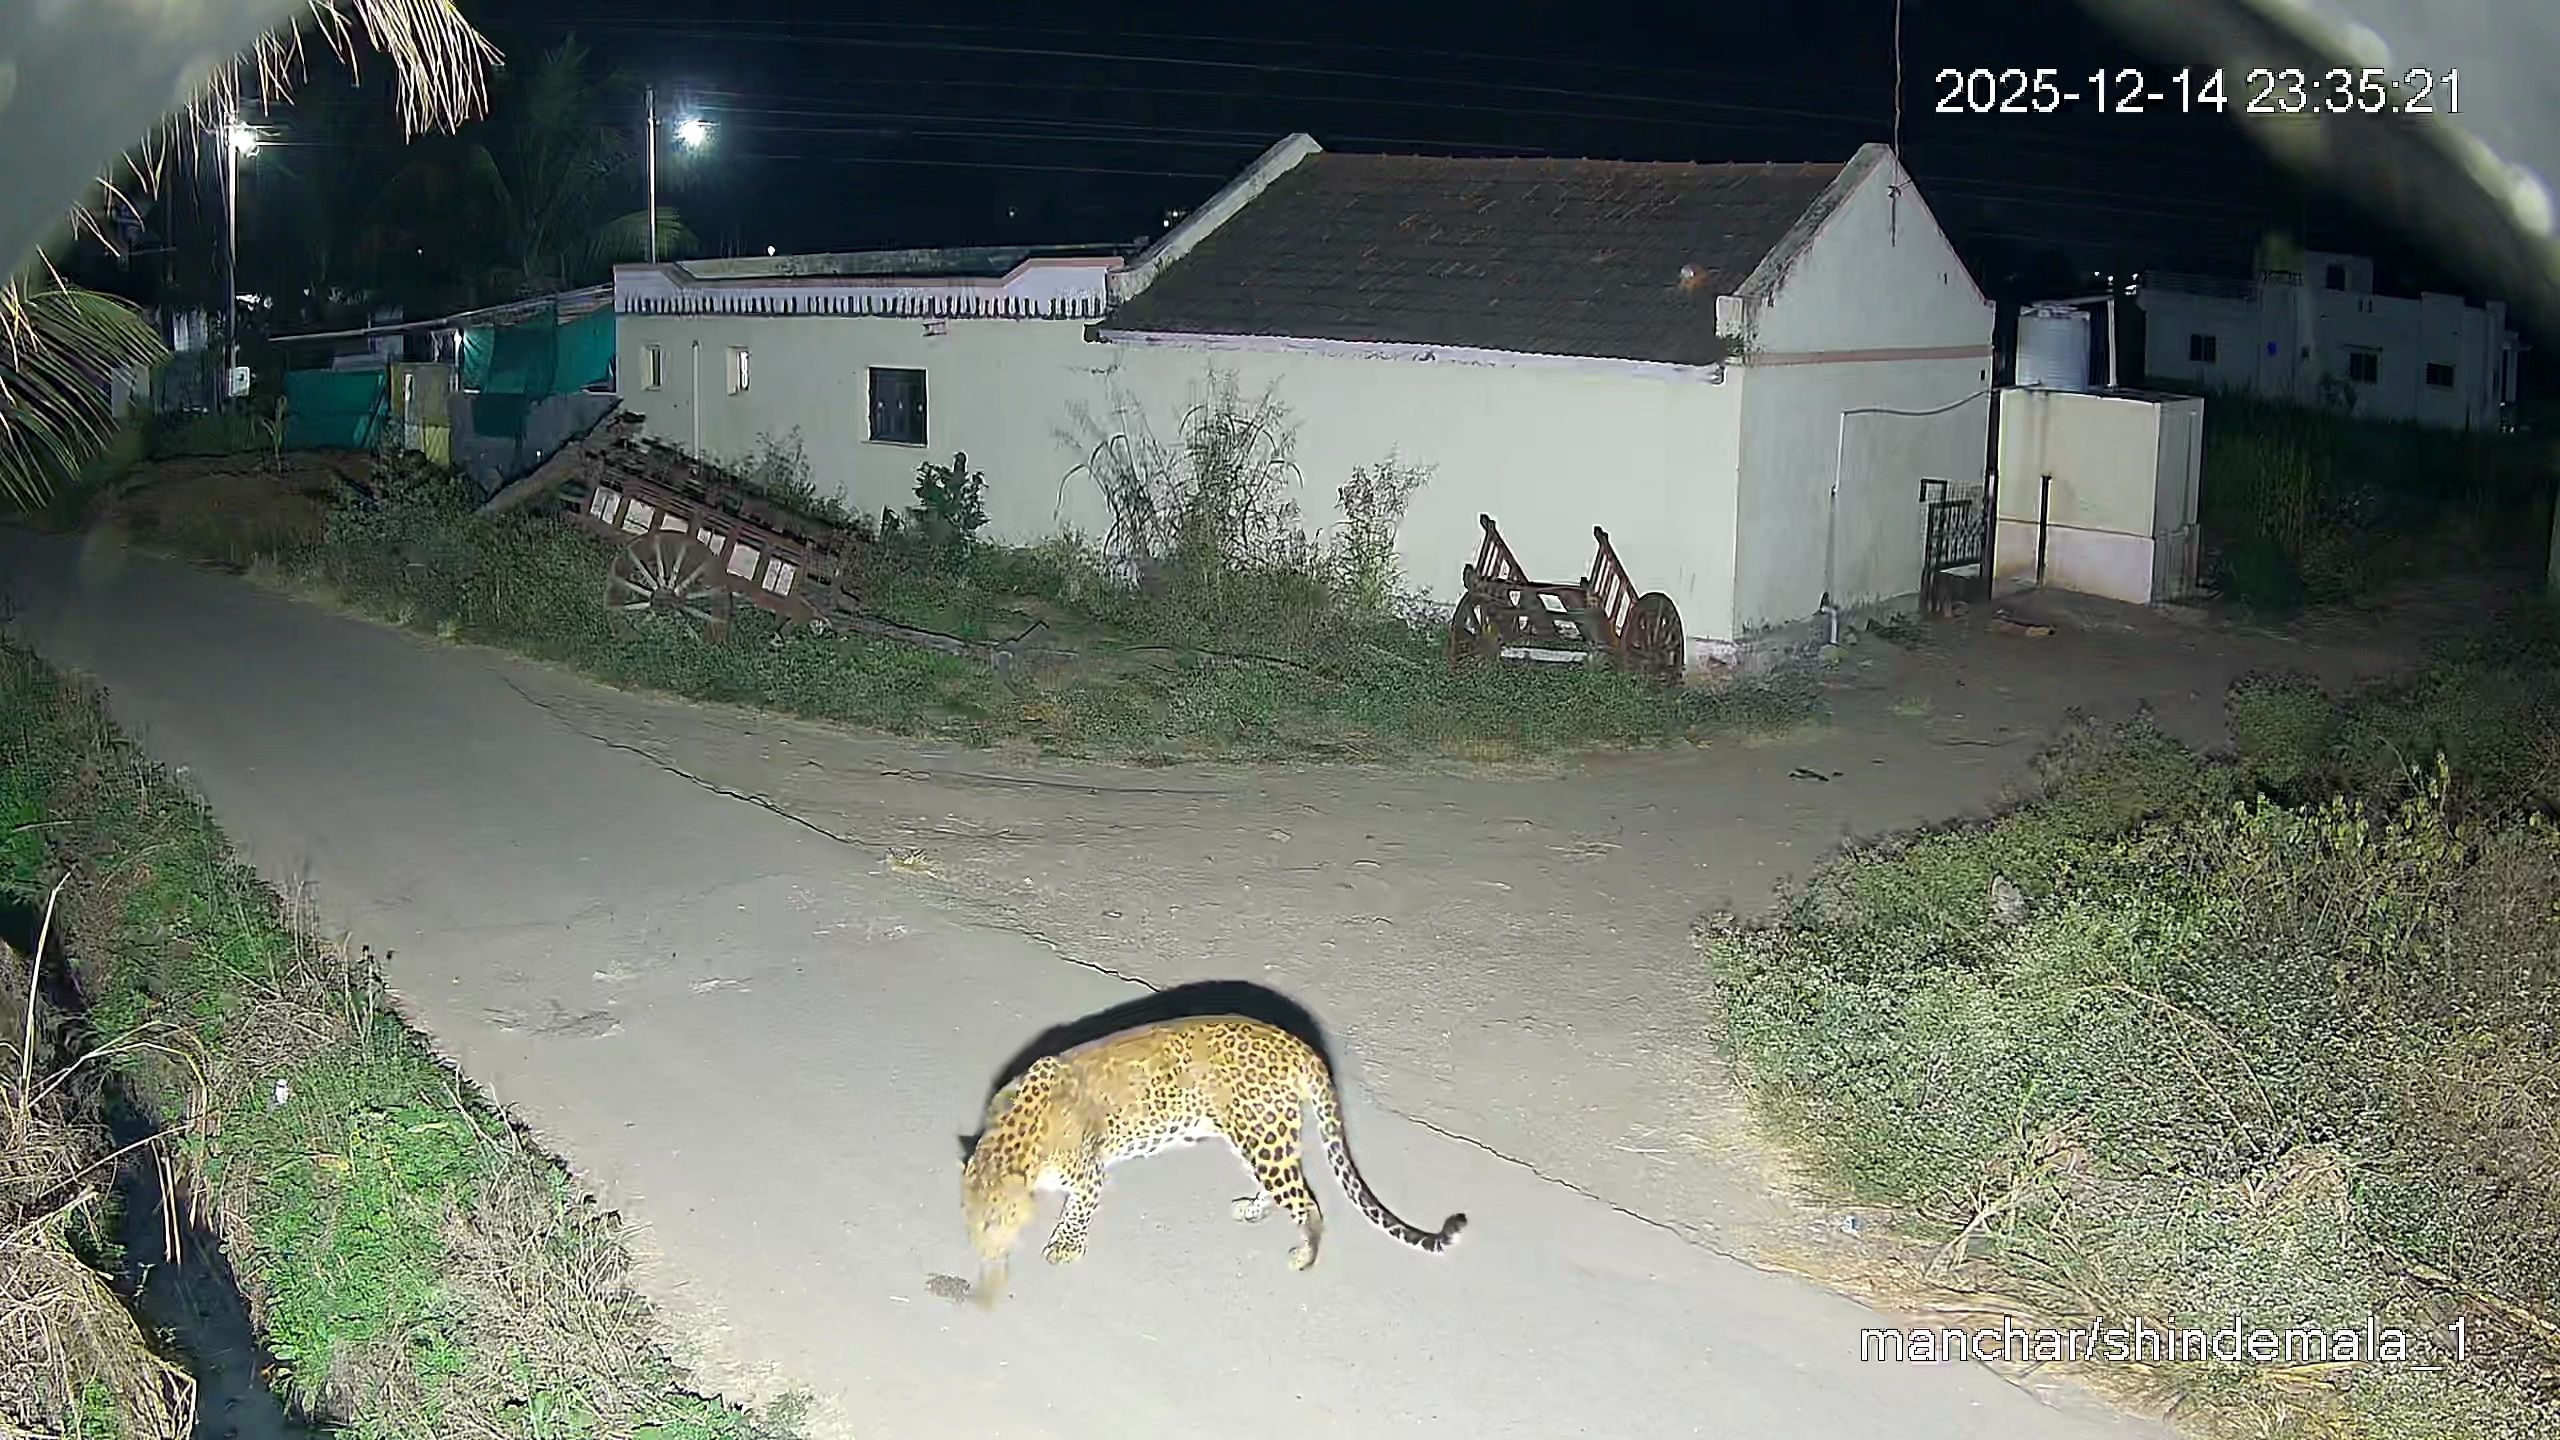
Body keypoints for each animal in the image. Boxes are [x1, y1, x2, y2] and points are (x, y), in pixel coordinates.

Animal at [959, 1014, 1467, 1306]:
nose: (988, 1254)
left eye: (1000, 1221)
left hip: (1264, 1139)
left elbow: (1077, 1213)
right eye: (971, 1219)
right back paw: (1254, 1211)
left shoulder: (1089, 1177)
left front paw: (1064, 1248)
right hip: (1256, 1138)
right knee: (1288, 1191)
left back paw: (1304, 1257)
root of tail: (1300, 1046)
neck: (1013, 1136)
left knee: (1309, 1203)